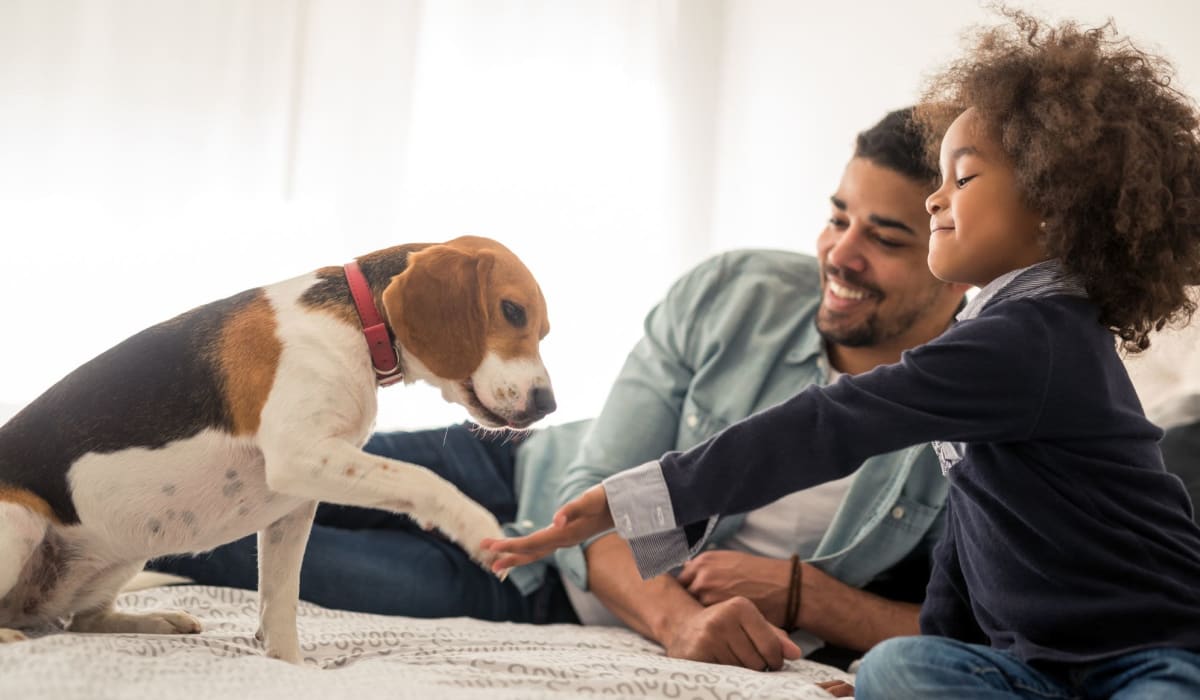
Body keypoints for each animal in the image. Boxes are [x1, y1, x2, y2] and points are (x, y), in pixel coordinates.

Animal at [0, 235, 554, 662]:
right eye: (511, 311)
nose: (548, 404)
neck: (359, 322)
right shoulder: (299, 457)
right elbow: (423, 478)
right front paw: (479, 528)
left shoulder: (295, 503)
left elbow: (280, 600)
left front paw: (291, 666)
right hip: (19, 521)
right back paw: (10, 636)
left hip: (127, 549)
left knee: (81, 622)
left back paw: (159, 620)